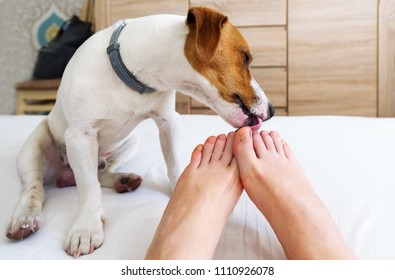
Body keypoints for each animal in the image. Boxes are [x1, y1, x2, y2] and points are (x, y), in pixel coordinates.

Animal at [5, 6, 276, 258]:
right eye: (246, 58)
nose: (273, 110)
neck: (134, 75)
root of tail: (63, 175)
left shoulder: (168, 121)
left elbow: (173, 165)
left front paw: (181, 189)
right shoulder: (80, 137)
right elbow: (88, 187)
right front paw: (86, 228)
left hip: (130, 143)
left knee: (101, 171)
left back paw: (122, 179)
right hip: (35, 147)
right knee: (36, 187)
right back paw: (25, 218)